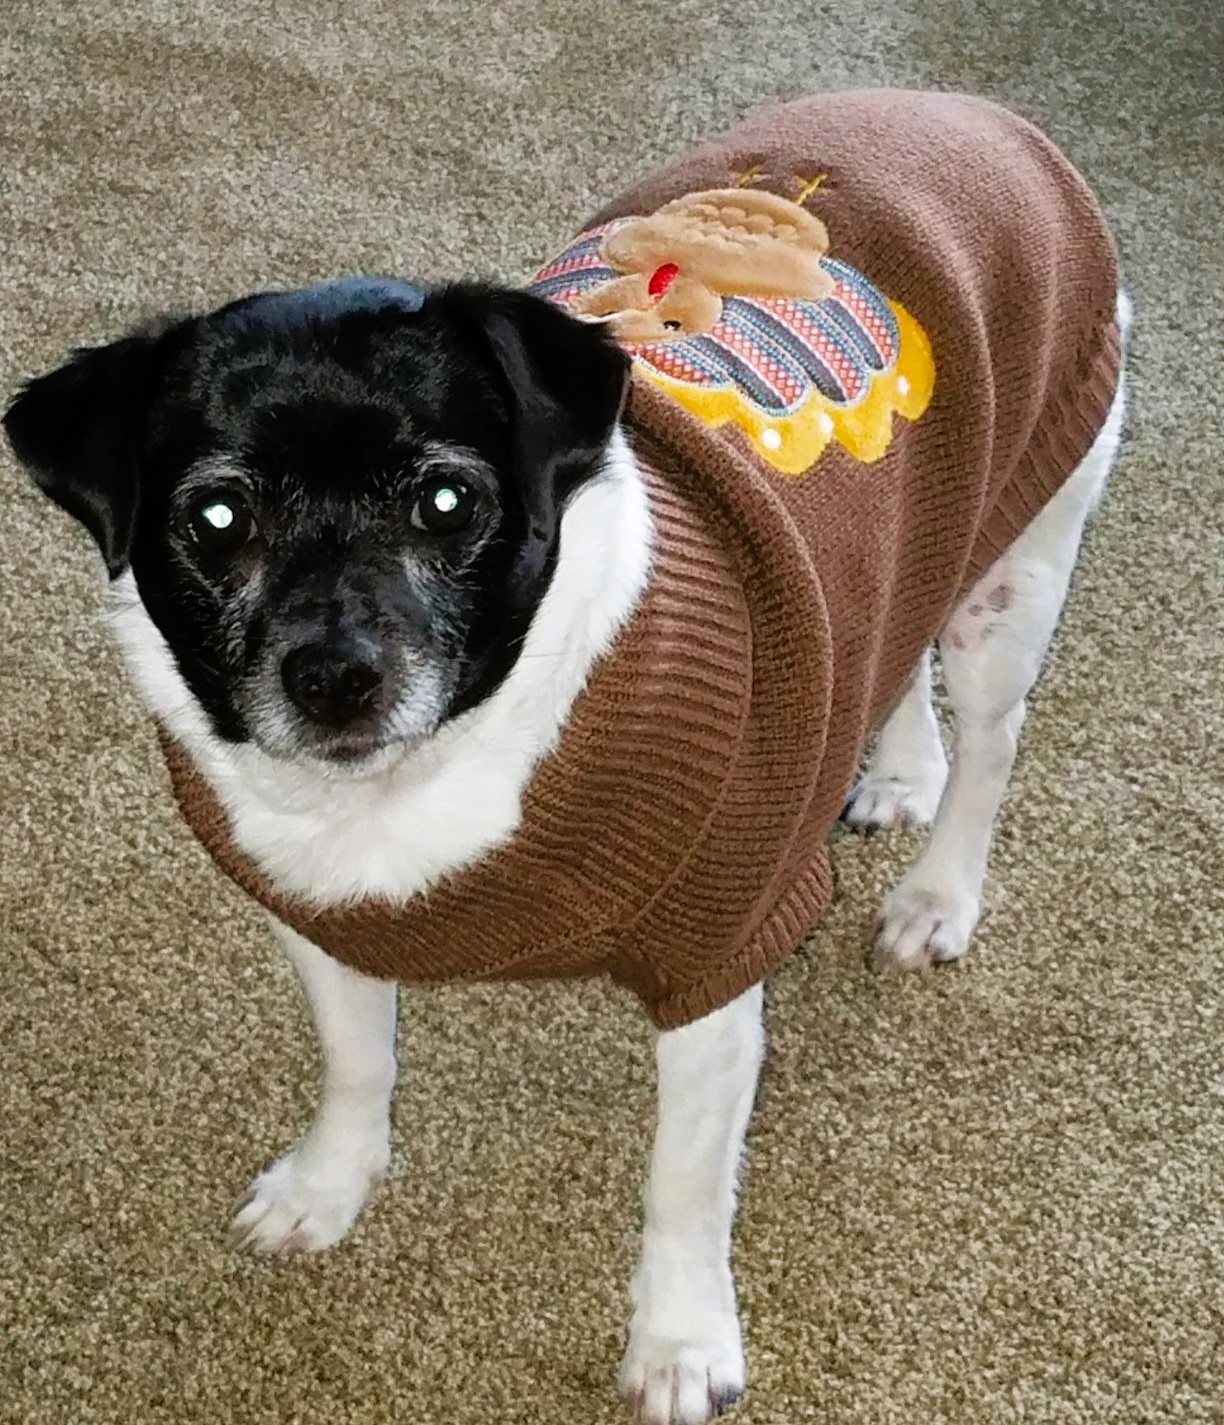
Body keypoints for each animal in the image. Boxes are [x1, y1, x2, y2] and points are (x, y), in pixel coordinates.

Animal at [2, 94, 1128, 1419]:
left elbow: (683, 1188)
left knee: (993, 748)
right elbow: (355, 1065)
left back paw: (938, 895)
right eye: (215, 520)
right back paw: (900, 769)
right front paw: (333, 1183)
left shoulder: (716, 964)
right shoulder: (320, 916)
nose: (334, 678)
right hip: (918, 555)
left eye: (445, 504)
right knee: (894, 652)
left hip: (1021, 572)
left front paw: (681, 1339)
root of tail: (974, 112)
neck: (422, 782)